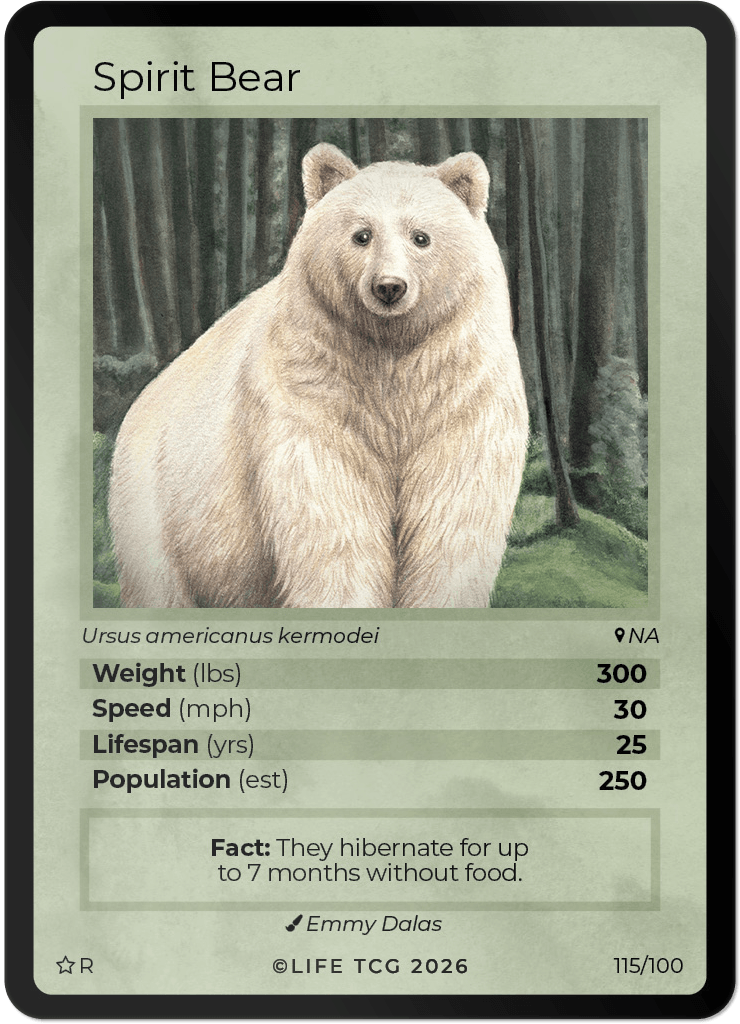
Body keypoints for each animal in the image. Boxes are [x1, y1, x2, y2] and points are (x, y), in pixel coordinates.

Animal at [108, 142, 528, 608]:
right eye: (361, 234)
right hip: (156, 505)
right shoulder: (316, 392)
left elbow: (452, 518)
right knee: (157, 583)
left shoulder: (457, 391)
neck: (390, 351)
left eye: (421, 237)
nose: (389, 287)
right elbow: (333, 521)